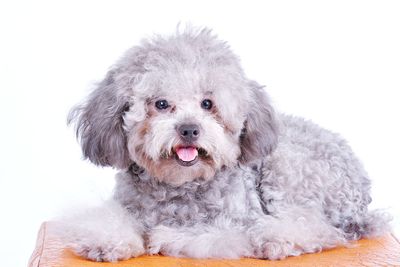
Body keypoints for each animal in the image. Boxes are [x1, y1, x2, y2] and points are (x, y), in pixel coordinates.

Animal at [61, 28, 390, 262]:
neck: (180, 188)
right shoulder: (125, 206)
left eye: (208, 103)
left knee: (315, 227)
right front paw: (106, 242)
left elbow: (200, 236)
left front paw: (165, 236)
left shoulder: (232, 225)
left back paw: (275, 240)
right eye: (161, 104)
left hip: (285, 168)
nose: (189, 129)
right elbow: (108, 221)